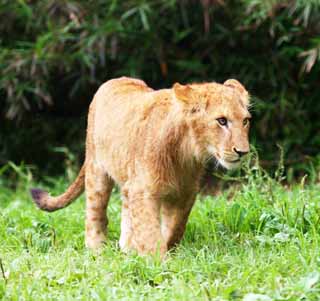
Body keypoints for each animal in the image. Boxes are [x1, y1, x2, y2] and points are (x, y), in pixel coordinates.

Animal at [30, 77, 250, 255]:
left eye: (246, 121)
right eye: (222, 121)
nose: (243, 151)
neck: (185, 152)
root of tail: (116, 80)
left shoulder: (185, 193)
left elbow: (174, 228)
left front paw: (160, 250)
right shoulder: (144, 191)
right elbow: (149, 232)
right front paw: (160, 265)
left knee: (126, 208)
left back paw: (127, 246)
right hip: (97, 169)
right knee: (95, 210)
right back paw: (97, 248)